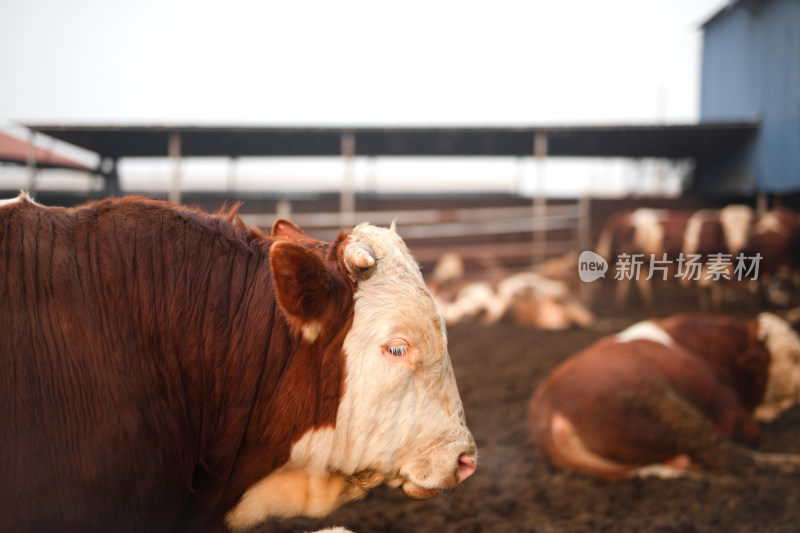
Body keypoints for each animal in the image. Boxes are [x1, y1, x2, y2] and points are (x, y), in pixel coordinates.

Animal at [532, 312, 800, 478]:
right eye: (791, 356)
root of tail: (550, 409)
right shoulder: (730, 410)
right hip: (665, 412)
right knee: (728, 456)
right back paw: (790, 462)